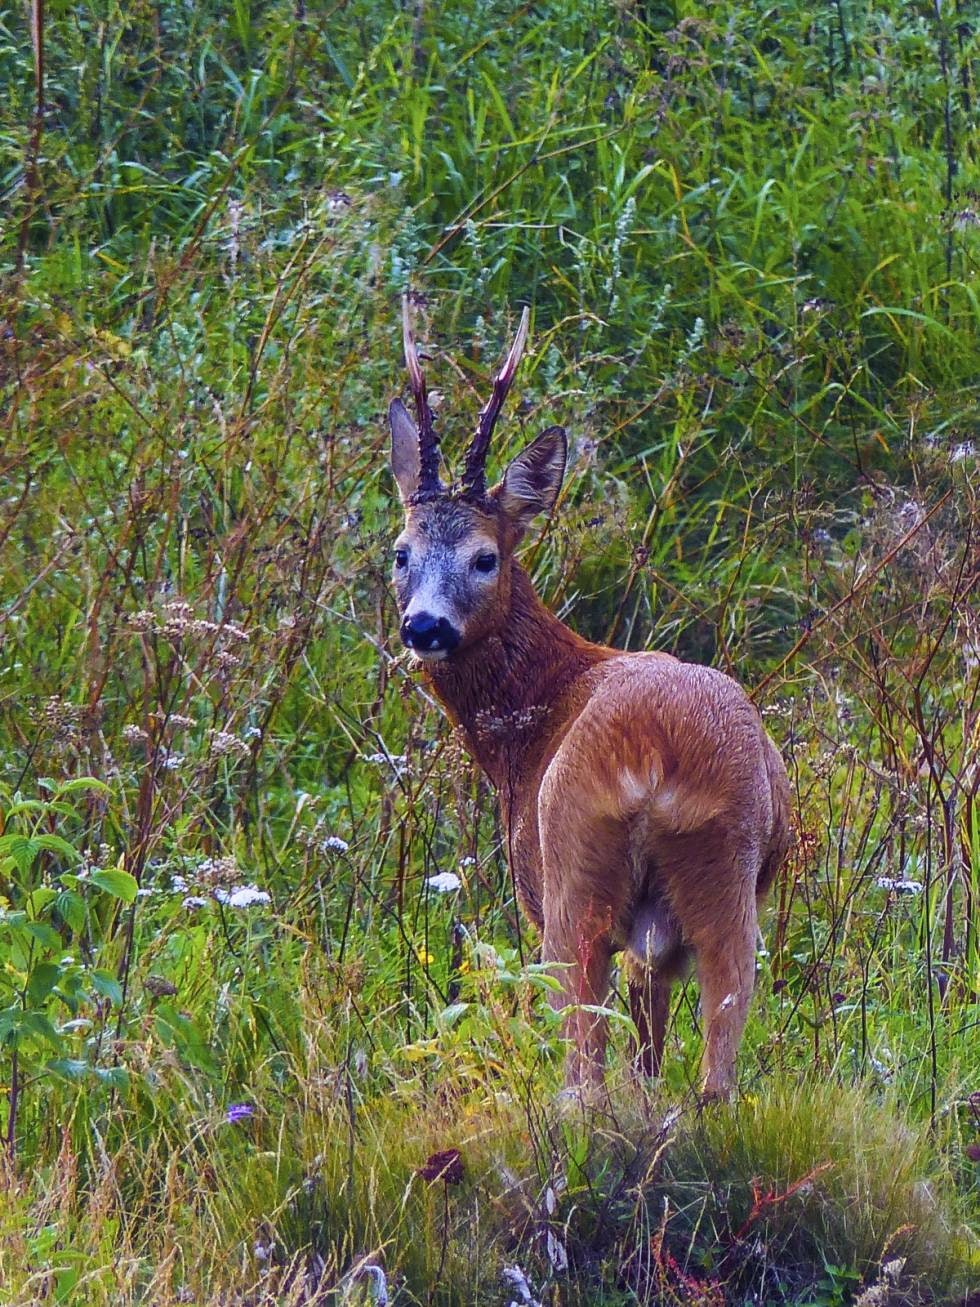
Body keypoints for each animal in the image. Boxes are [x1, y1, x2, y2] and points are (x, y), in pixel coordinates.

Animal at [386, 300, 794, 1097]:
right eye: (400, 552)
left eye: (486, 556)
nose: (424, 626)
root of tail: (658, 754)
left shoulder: (534, 882)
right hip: (727, 875)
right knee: (717, 1067)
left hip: (573, 877)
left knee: (581, 1071)